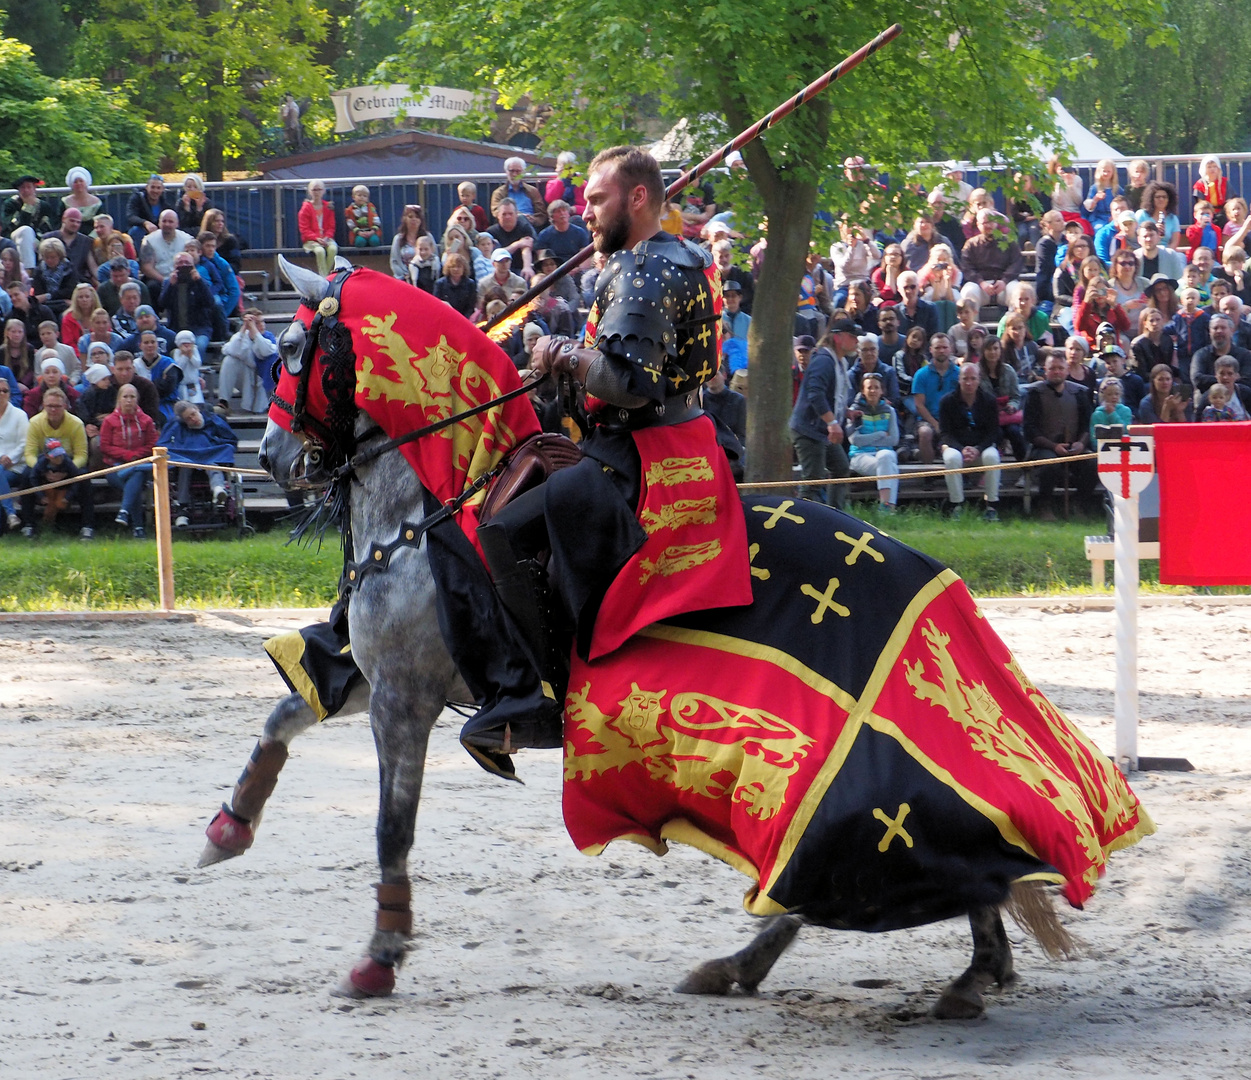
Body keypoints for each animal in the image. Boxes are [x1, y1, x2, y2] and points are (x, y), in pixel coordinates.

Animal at [200, 260, 1070, 1011]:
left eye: (290, 350)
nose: (272, 456)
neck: (432, 506)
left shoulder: (404, 698)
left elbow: (391, 827)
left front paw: (380, 956)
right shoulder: (377, 676)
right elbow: (283, 715)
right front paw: (228, 827)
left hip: (817, 766)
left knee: (844, 868)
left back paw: (771, 964)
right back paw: (957, 969)